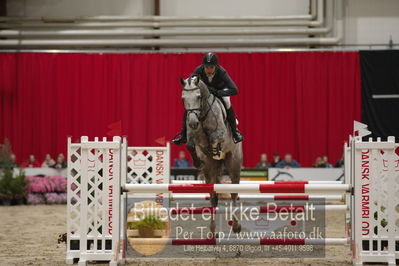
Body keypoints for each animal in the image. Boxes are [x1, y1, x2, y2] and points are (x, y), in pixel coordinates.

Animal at [179, 75, 244, 235]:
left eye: (198, 96)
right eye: (183, 99)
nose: (193, 123)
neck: (201, 115)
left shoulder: (219, 134)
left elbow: (214, 139)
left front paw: (215, 150)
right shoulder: (193, 137)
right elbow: (190, 145)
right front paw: (198, 162)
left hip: (234, 164)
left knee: (234, 193)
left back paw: (236, 226)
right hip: (210, 172)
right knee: (213, 198)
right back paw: (212, 230)